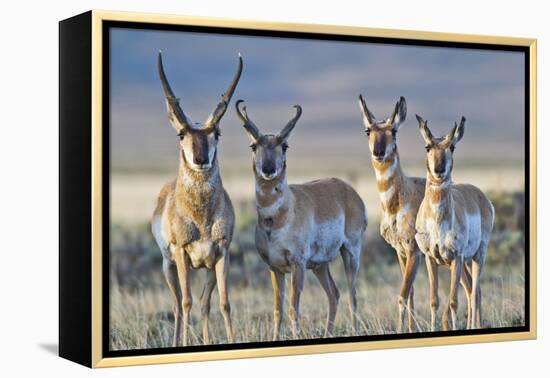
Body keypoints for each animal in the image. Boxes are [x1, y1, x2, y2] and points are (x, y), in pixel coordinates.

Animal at [152, 51, 245, 346]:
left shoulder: (221, 254)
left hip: (205, 268)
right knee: (178, 304)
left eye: (217, 133)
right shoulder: (182, 254)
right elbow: (186, 303)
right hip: (169, 267)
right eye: (181, 133)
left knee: (204, 303)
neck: (201, 218)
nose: (201, 159)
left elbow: (223, 303)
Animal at [236, 99, 368, 340]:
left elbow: (292, 308)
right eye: (253, 146)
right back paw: (327, 334)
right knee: (334, 294)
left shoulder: (297, 265)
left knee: (353, 296)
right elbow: (278, 309)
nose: (268, 169)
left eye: (285, 145)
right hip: (320, 265)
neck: (277, 219)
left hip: (350, 253)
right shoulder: (275, 268)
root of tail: (349, 190)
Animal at [416, 115, 498, 330]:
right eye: (427, 146)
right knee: (472, 291)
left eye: (452, 147)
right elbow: (434, 301)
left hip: (477, 256)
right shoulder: (431, 259)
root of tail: (481, 196)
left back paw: (475, 327)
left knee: (476, 292)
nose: (439, 169)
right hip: (464, 264)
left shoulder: (456, 257)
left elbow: (453, 302)